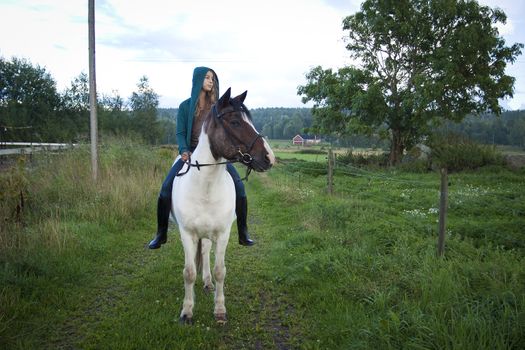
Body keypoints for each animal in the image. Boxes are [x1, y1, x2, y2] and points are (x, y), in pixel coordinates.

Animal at [174, 88, 276, 326]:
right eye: (235, 122)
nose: (270, 158)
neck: (206, 188)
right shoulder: (187, 234)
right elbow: (188, 273)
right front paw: (187, 311)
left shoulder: (222, 234)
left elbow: (220, 271)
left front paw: (220, 310)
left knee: (205, 252)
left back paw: (207, 282)